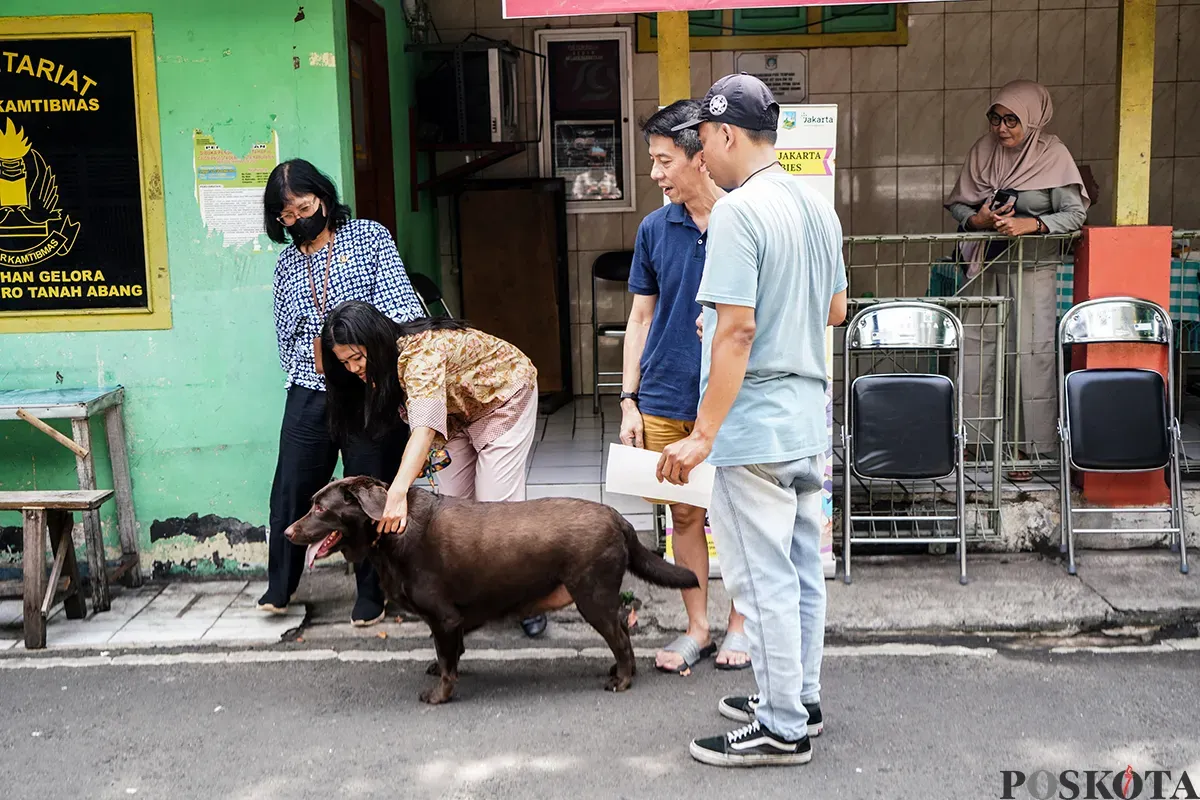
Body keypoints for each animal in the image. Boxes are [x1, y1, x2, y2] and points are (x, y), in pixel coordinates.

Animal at [285, 479, 700, 705]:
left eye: (320, 508)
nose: (288, 532)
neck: (390, 532)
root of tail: (618, 517)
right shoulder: (450, 621)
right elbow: (449, 652)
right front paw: (442, 666)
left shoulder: (443, 616)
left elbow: (447, 661)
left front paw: (439, 695)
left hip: (591, 594)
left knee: (620, 634)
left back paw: (622, 679)